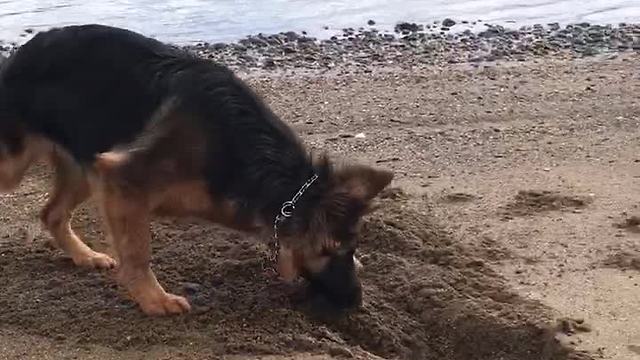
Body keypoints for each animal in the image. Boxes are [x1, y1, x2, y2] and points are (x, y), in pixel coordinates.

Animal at [0, 24, 396, 316]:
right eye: (332, 249)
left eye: (352, 248)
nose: (356, 303)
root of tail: (17, 57)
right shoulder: (124, 182)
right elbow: (138, 253)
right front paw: (154, 300)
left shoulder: (109, 179)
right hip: (17, 166)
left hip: (84, 165)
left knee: (52, 213)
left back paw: (85, 256)